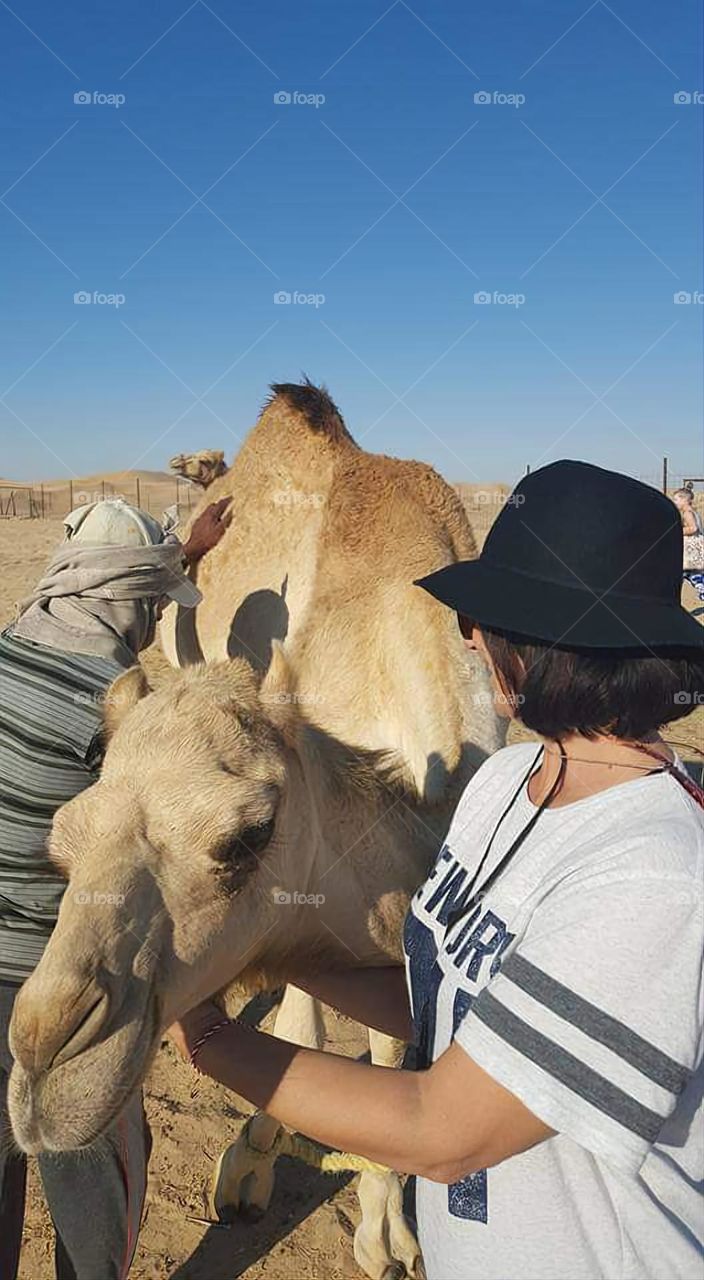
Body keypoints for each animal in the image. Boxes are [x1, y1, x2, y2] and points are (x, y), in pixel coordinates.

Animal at [8, 381, 504, 1280]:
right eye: (58, 850)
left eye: (245, 838)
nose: (42, 1052)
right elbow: (316, 1015)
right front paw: (257, 1165)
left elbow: (393, 1035)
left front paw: (388, 1231)